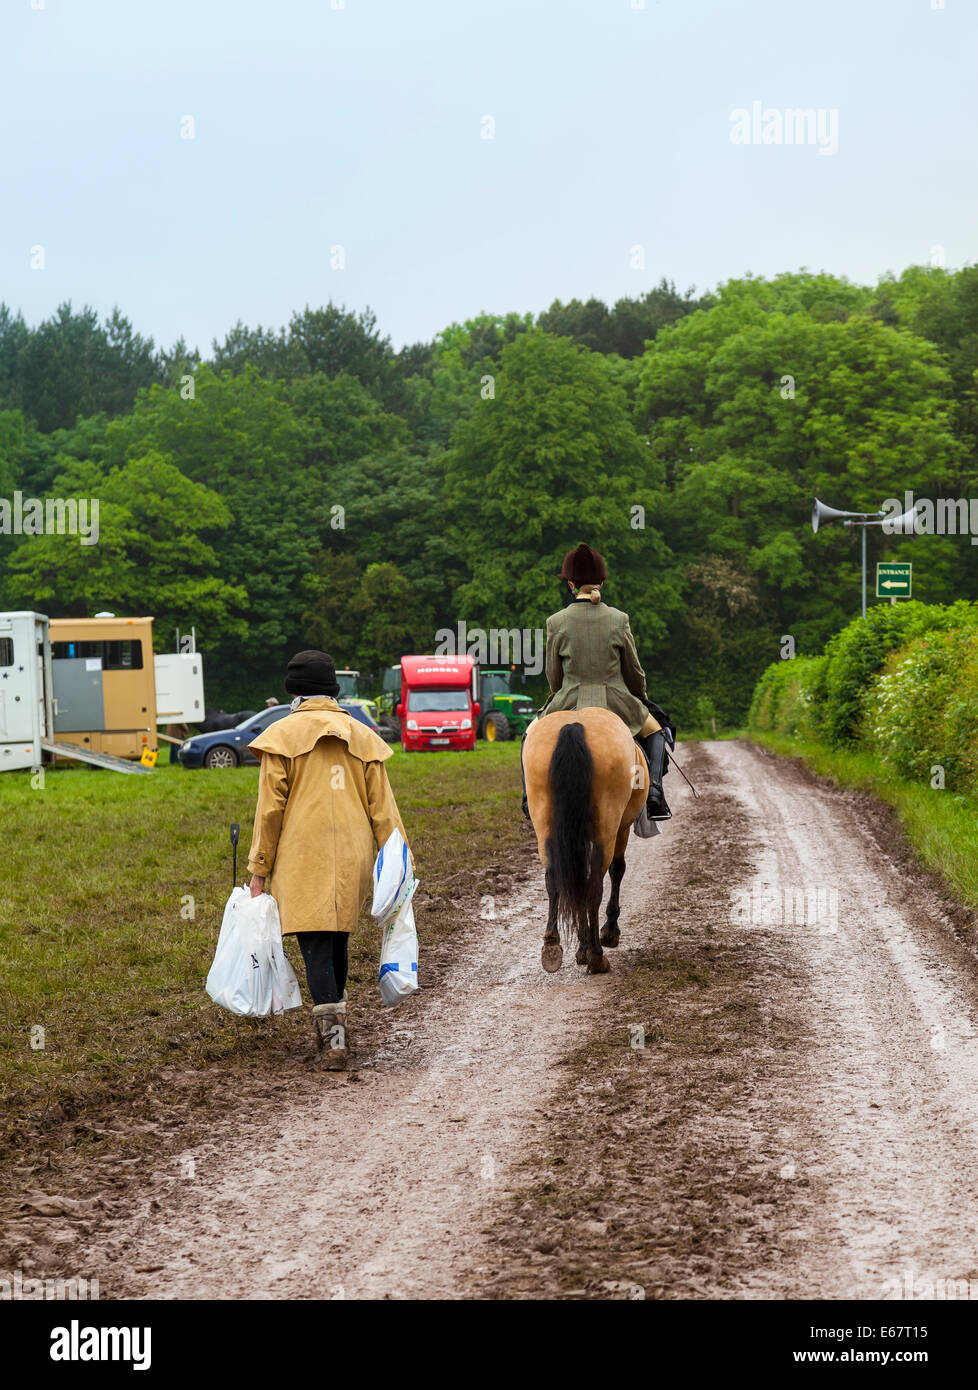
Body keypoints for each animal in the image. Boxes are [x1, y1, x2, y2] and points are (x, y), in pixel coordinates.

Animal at [523, 708, 648, 975]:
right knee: (595, 884)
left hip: (545, 825)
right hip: (607, 828)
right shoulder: (621, 828)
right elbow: (617, 870)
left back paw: (552, 947)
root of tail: (574, 724)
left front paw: (581, 947)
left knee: (555, 879)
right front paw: (606, 934)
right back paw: (597, 955)